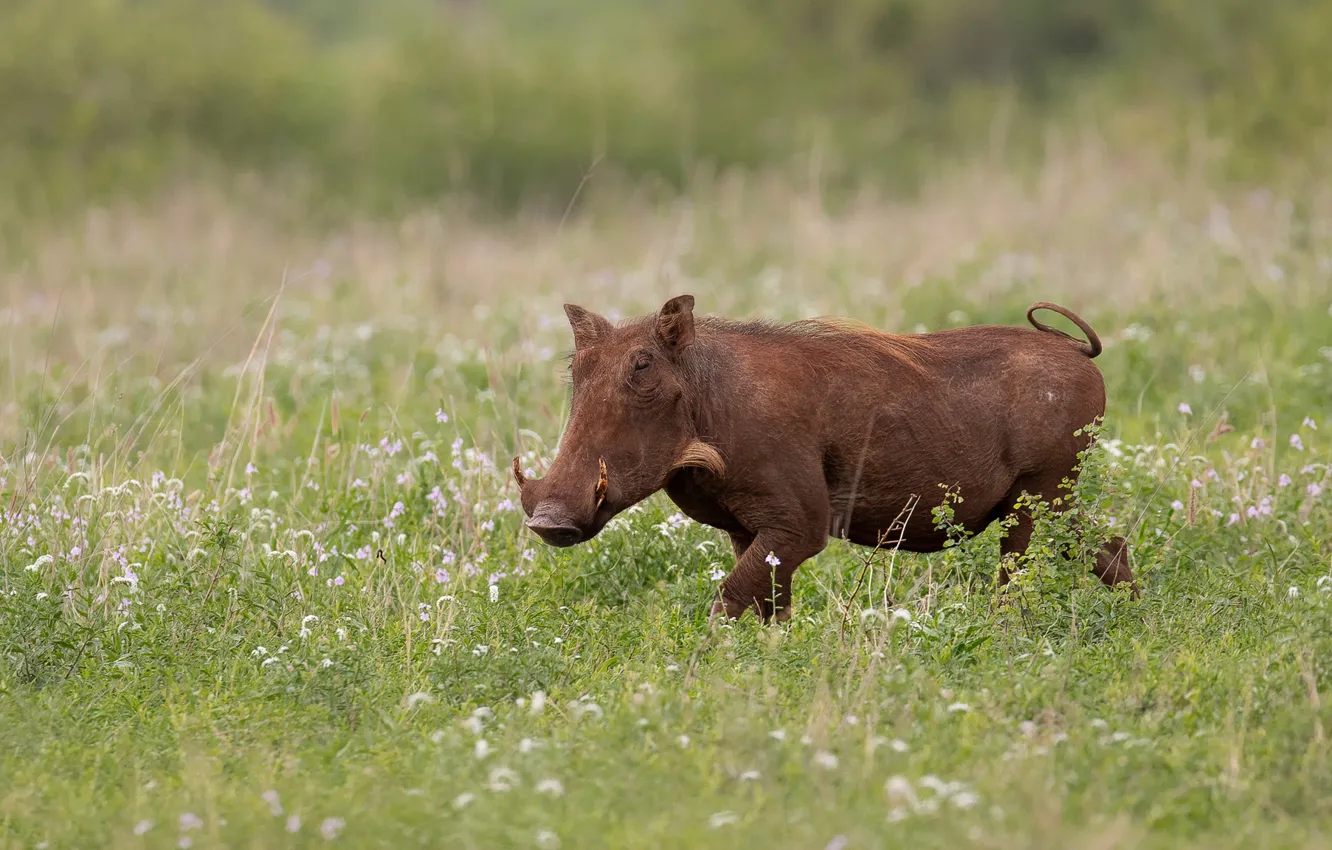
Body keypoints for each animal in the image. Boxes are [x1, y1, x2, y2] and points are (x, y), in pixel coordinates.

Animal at [514, 294, 1137, 623]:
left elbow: (727, 601)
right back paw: (1136, 618)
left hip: (1038, 495)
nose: (548, 521)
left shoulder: (799, 525)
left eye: (643, 369)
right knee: (1107, 548)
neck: (709, 399)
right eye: (577, 369)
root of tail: (1075, 350)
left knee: (1017, 577)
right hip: (1057, 499)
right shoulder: (751, 531)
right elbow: (767, 606)